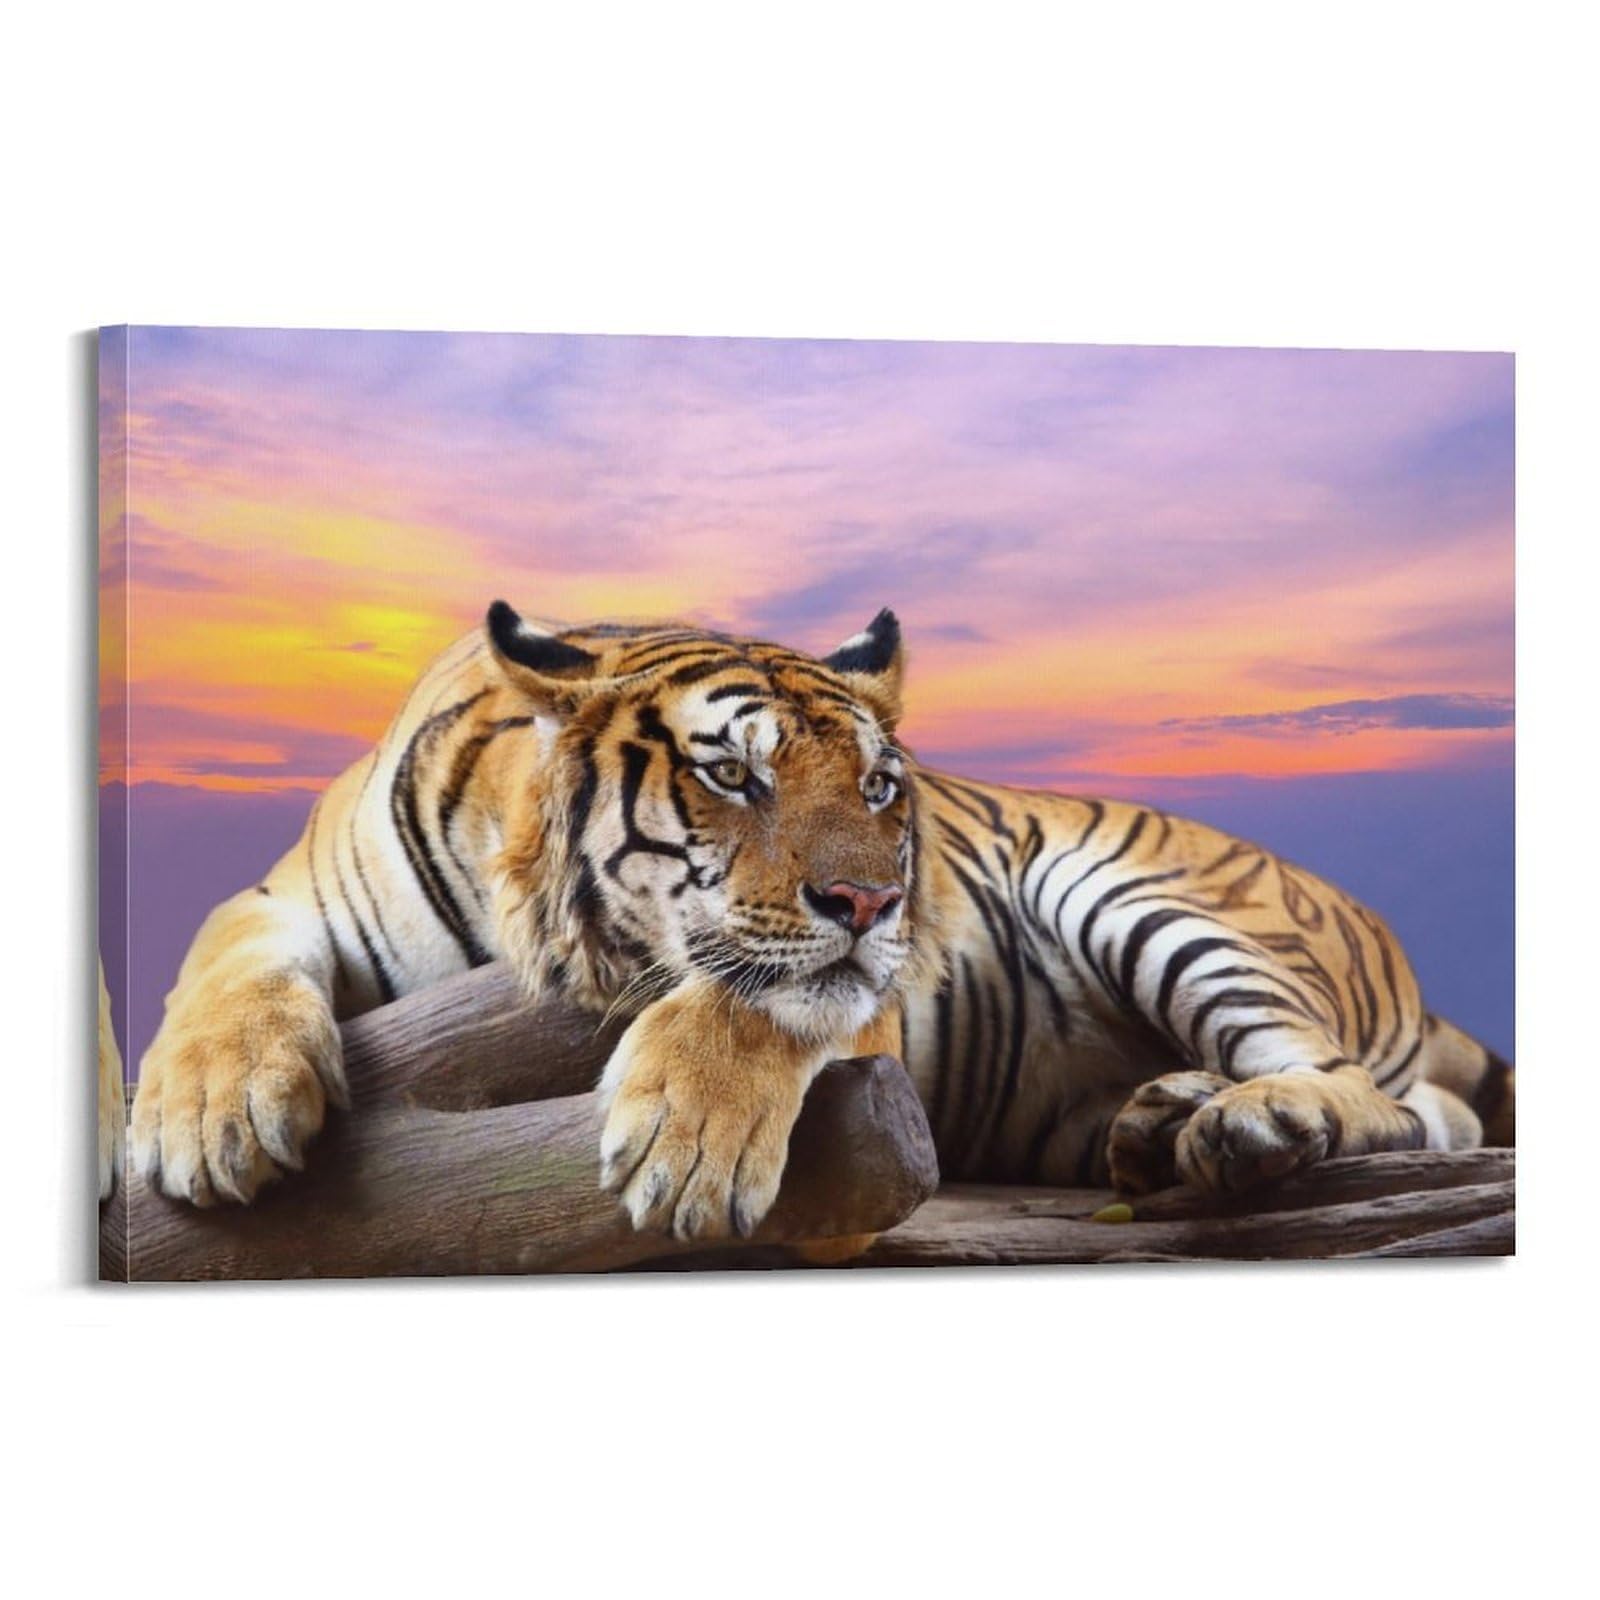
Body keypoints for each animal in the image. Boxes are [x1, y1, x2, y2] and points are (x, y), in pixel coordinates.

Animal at [128, 602, 1515, 1241]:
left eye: (881, 787)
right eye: (731, 774)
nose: (876, 899)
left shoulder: (851, 987)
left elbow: (759, 1001)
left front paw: (685, 1151)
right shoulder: (285, 897)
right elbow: (221, 968)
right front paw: (210, 1119)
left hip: (1143, 896)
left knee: (1383, 1100)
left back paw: (1243, 1124)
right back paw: (1161, 1121)